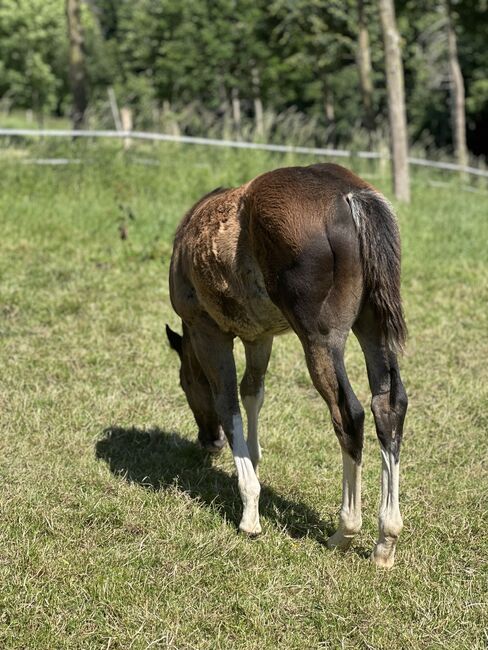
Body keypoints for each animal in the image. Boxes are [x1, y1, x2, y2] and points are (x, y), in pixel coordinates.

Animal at [166, 163, 406, 568]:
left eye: (185, 384)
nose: (209, 441)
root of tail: (350, 195)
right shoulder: (259, 336)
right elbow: (253, 392)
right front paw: (252, 459)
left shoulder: (207, 330)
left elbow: (227, 401)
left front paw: (249, 514)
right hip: (372, 327)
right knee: (388, 405)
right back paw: (385, 541)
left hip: (320, 338)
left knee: (349, 414)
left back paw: (344, 531)